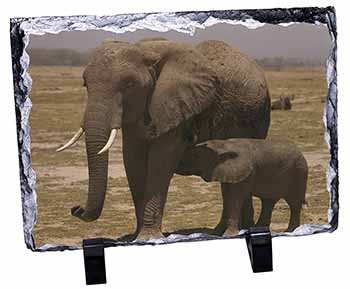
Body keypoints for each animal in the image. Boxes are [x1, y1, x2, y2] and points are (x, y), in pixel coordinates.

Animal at [57, 38, 270, 241]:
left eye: (129, 85)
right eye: (85, 84)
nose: (76, 209)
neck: (147, 52)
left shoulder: (176, 106)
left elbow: (161, 161)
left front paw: (149, 236)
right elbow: (133, 160)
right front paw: (136, 237)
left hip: (259, 117)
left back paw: (241, 229)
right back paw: (222, 231)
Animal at [176, 138, 308, 235]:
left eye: (194, 157)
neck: (222, 144)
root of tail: (301, 154)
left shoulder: (245, 173)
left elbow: (234, 198)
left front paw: (228, 235)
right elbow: (227, 197)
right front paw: (215, 233)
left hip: (298, 174)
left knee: (294, 204)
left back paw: (291, 231)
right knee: (268, 202)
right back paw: (259, 229)